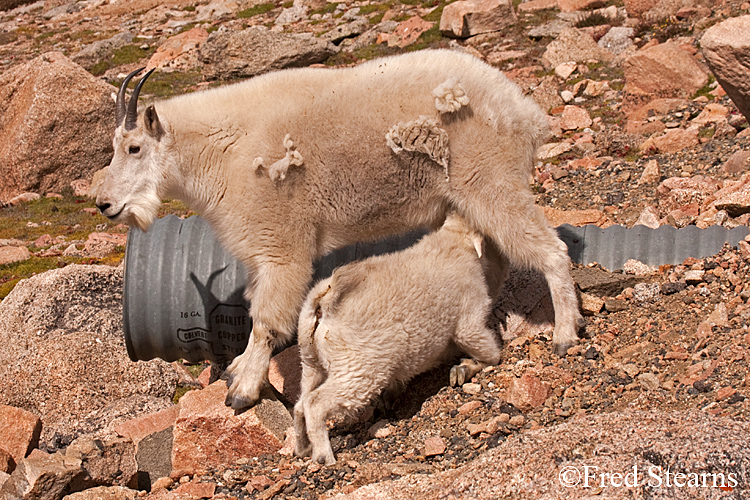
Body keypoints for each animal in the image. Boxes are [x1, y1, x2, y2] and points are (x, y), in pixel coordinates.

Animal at [97, 47, 584, 410]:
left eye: (134, 148)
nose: (104, 203)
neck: (220, 151)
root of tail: (524, 110)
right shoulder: (260, 254)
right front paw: (237, 371)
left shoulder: (282, 247)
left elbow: (266, 322)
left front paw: (242, 391)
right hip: (469, 199)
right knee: (496, 261)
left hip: (491, 182)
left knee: (550, 250)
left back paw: (564, 335)